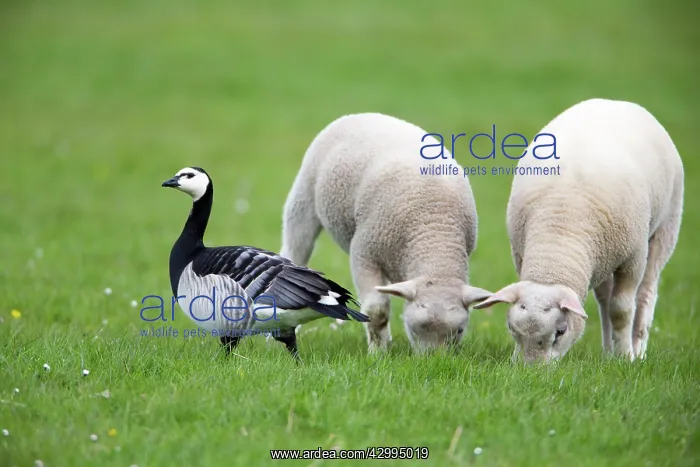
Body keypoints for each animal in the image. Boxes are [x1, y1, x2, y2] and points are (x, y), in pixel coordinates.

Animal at [279, 112, 493, 352]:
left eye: (459, 331)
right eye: (414, 327)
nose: (435, 360)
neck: (434, 230)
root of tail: (365, 114)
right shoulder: (364, 253)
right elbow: (377, 311)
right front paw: (377, 353)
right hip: (304, 200)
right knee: (295, 249)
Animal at [474, 98, 684, 363]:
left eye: (561, 331)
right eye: (512, 328)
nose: (531, 368)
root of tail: (614, 101)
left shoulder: (633, 259)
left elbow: (622, 310)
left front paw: (626, 357)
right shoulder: (520, 254)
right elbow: (607, 307)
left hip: (666, 226)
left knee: (646, 293)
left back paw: (638, 351)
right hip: (604, 255)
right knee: (604, 300)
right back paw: (608, 352)